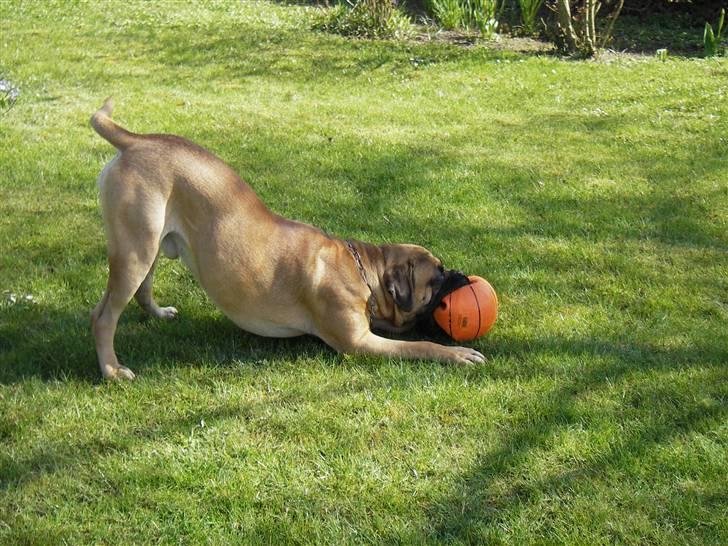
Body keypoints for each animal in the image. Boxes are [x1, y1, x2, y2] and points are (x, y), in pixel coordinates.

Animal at [91, 99, 486, 378]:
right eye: (437, 275)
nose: (462, 276)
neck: (365, 271)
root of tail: (135, 141)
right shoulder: (359, 343)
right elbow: (420, 345)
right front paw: (456, 354)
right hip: (135, 251)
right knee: (104, 316)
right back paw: (112, 370)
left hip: (151, 243)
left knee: (135, 293)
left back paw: (157, 313)